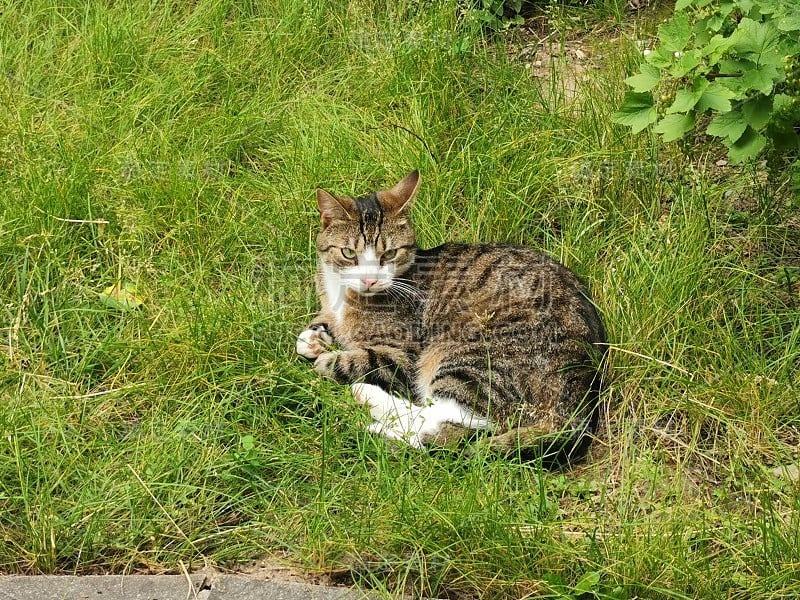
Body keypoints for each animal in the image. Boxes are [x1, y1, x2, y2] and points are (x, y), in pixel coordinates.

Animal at [298, 171, 608, 466]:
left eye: (389, 254)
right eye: (349, 253)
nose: (370, 280)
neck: (342, 293)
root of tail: (579, 404)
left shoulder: (403, 353)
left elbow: (366, 358)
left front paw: (329, 361)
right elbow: (321, 325)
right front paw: (313, 338)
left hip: (469, 356)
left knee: (450, 432)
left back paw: (370, 406)